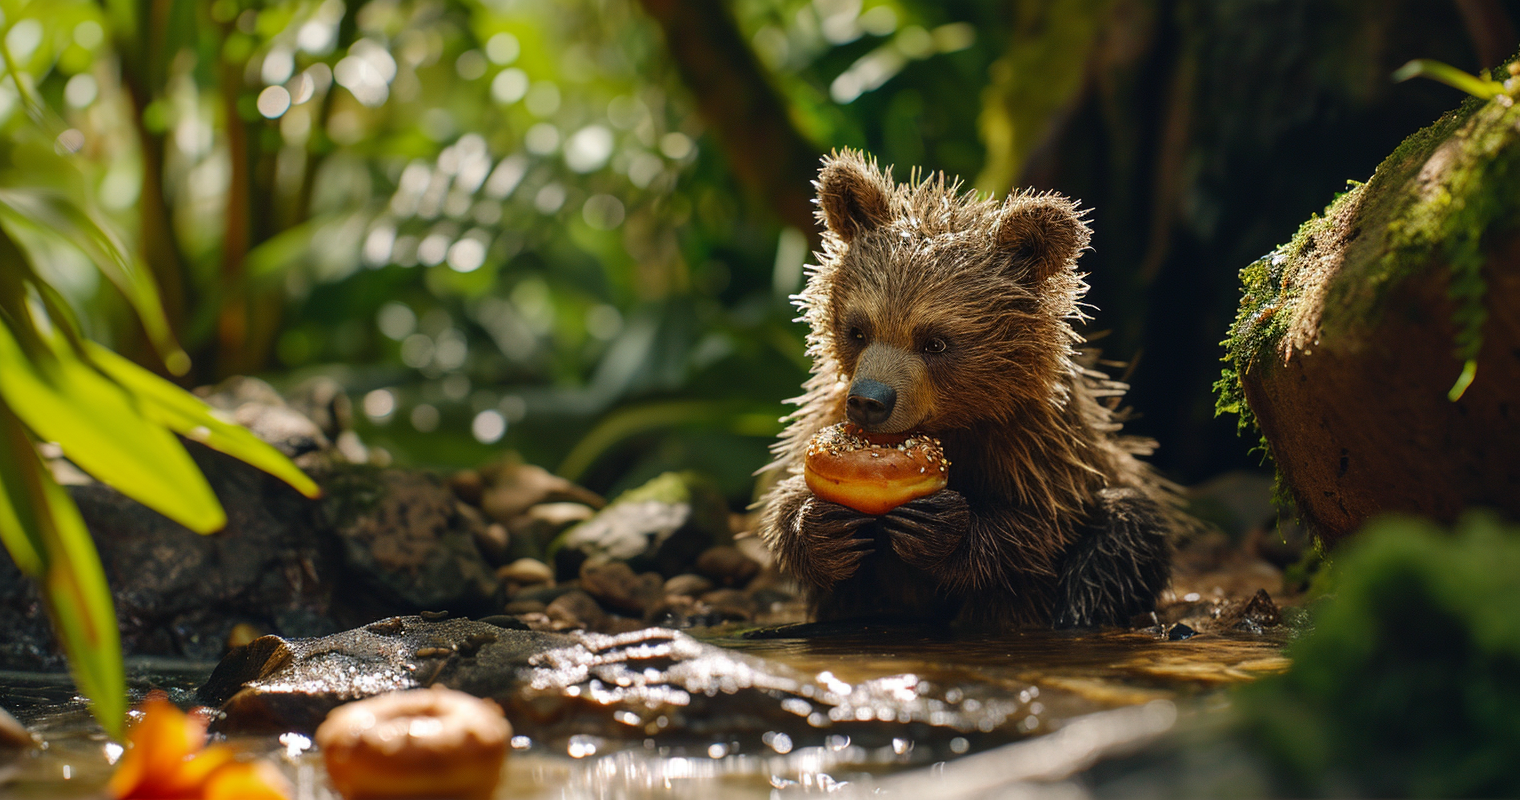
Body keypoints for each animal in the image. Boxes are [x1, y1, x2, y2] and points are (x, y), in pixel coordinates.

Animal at [760, 149, 1173, 626]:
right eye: (858, 330)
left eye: (935, 341)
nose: (869, 402)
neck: (958, 421)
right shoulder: (825, 409)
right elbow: (784, 499)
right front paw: (820, 525)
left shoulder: (1038, 444)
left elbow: (1041, 525)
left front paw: (942, 528)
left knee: (1127, 525)